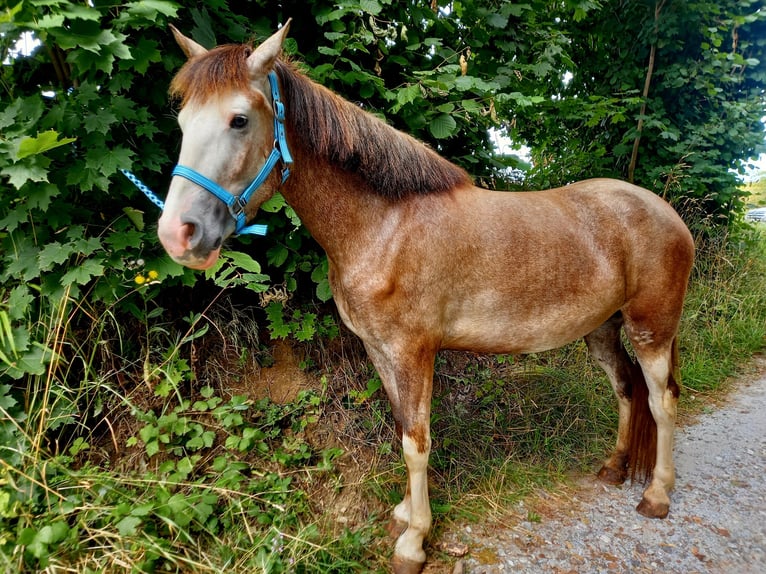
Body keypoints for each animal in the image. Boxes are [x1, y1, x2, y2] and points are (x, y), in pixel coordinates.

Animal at [154, 21, 695, 573]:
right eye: (182, 120)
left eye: (239, 119)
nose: (178, 234)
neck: (384, 226)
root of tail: (666, 212)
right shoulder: (380, 351)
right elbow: (401, 429)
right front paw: (403, 512)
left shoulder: (412, 353)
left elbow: (417, 442)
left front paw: (414, 540)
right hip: (603, 330)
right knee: (626, 389)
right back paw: (613, 467)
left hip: (652, 328)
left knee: (663, 400)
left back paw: (656, 495)